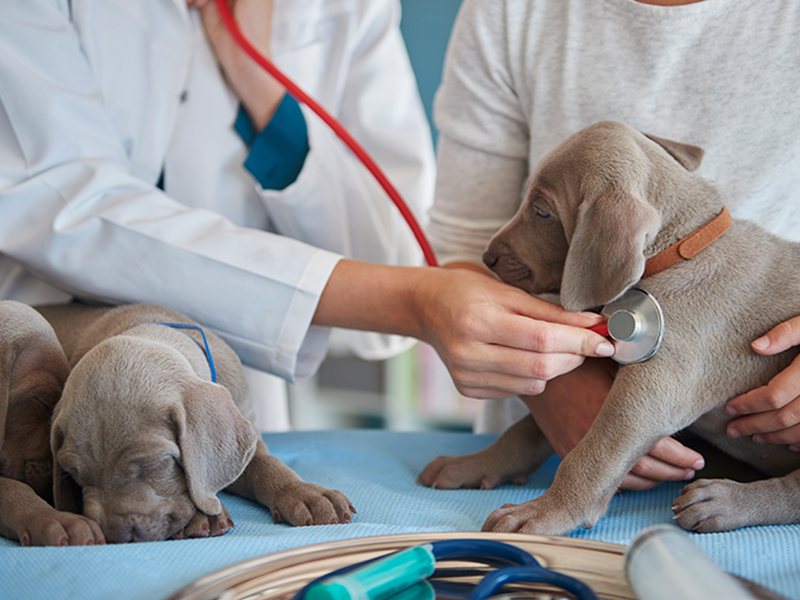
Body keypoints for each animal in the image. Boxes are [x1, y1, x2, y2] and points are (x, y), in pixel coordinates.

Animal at [34, 302, 354, 540]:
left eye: (154, 464)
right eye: (74, 474)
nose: (115, 535)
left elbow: (265, 465)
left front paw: (305, 493)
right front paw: (202, 515)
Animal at [418, 120, 800, 536]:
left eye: (542, 212)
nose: (488, 257)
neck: (681, 250)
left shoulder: (653, 389)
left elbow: (594, 452)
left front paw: (544, 511)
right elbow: (528, 429)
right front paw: (475, 463)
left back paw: (724, 501)